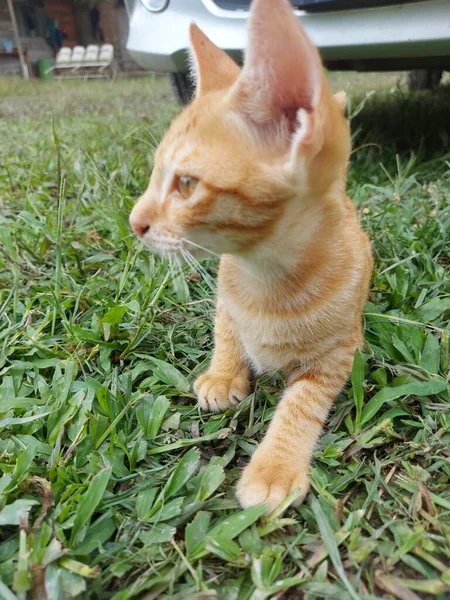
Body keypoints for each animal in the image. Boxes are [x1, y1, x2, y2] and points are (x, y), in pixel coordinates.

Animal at [129, 0, 372, 510]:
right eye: (155, 174)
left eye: (186, 184)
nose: (133, 223)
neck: (266, 279)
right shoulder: (227, 298)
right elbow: (226, 329)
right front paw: (223, 374)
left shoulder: (341, 352)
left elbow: (302, 403)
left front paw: (274, 466)